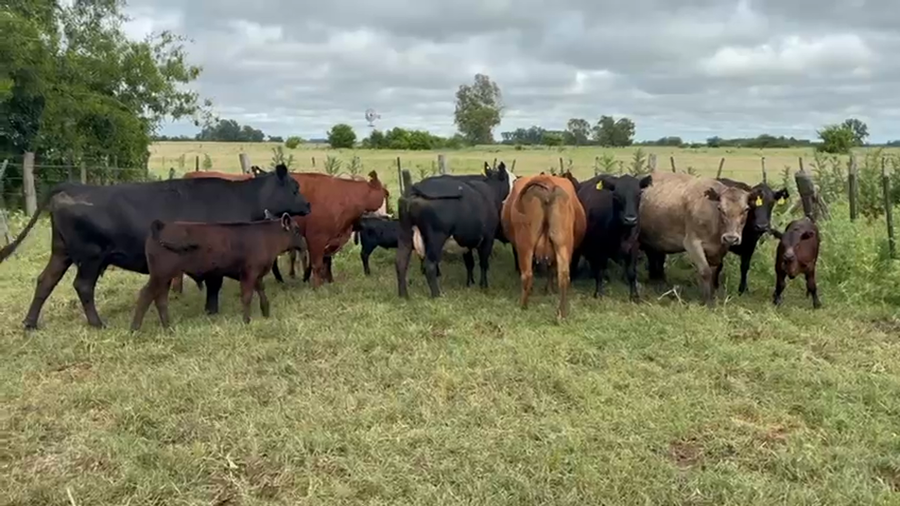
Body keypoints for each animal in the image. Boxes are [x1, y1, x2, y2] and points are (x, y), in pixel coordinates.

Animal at [130, 213, 307, 330]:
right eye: (297, 230)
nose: (304, 244)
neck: (265, 237)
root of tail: (162, 224)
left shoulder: (257, 275)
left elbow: (262, 293)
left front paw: (265, 313)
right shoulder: (248, 273)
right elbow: (247, 297)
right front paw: (246, 320)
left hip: (165, 277)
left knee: (160, 299)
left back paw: (168, 327)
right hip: (160, 275)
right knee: (146, 295)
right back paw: (135, 328)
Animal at [395, 163, 512, 298]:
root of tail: (416, 187)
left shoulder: (467, 240)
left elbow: (469, 263)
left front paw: (470, 283)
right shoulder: (488, 238)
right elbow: (483, 263)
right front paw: (484, 286)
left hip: (405, 234)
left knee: (401, 262)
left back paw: (403, 296)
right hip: (436, 237)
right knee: (430, 265)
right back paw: (437, 295)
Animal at [502, 174, 586, 319]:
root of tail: (548, 182)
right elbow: (551, 269)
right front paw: (550, 290)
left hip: (525, 243)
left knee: (527, 274)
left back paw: (523, 305)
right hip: (562, 242)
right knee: (563, 275)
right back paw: (561, 314)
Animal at [639, 171, 750, 306]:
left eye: (746, 209)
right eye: (720, 209)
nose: (731, 238)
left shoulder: (719, 249)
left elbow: (714, 272)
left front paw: (712, 296)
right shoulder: (692, 243)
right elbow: (705, 272)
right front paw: (708, 301)